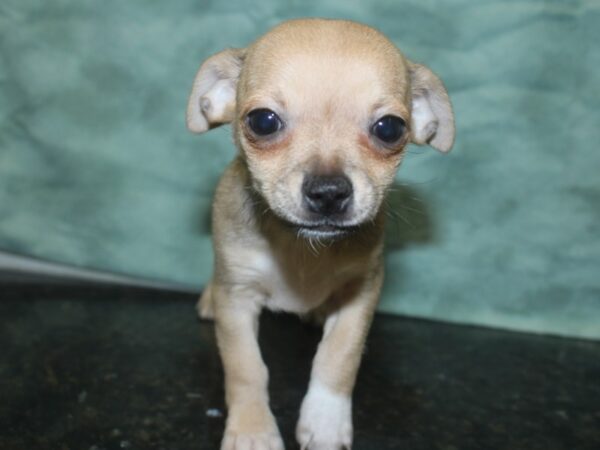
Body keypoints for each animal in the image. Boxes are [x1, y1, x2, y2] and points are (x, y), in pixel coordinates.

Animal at [185, 17, 452, 450]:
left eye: (390, 129)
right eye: (263, 121)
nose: (329, 191)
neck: (299, 250)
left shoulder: (362, 291)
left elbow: (339, 355)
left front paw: (325, 420)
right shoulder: (237, 299)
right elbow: (246, 368)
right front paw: (253, 431)